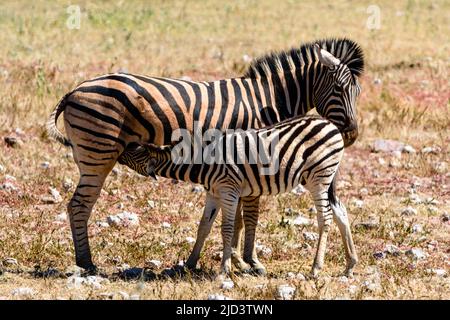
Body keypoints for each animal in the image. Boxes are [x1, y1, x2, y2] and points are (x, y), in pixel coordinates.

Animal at [120, 115, 358, 278]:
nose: (119, 148)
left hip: (319, 177)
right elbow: (204, 227)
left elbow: (226, 229)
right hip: (324, 179)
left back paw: (315, 268)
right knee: (341, 212)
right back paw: (349, 265)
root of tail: (328, 123)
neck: (201, 162)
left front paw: (224, 269)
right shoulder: (213, 193)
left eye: (132, 151)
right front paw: (189, 263)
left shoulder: (228, 190)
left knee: (325, 218)